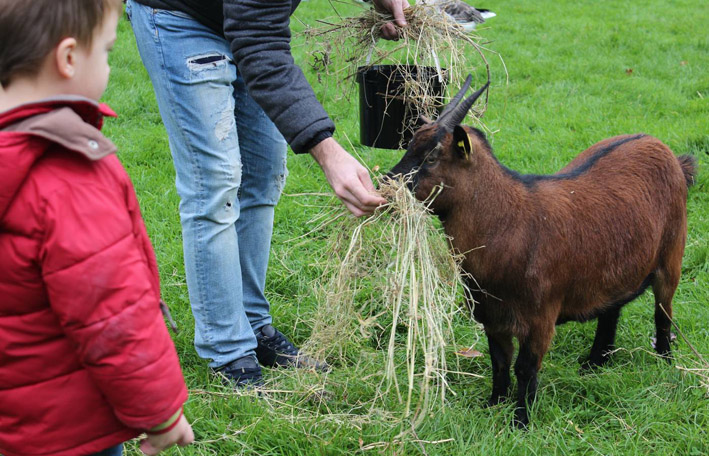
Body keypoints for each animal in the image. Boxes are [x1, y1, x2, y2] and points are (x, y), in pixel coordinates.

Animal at [388, 76, 696, 430]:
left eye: (432, 157)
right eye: (409, 146)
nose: (386, 182)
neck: (510, 221)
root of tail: (665, 150)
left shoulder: (540, 317)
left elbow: (525, 368)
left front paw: (520, 420)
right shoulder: (491, 315)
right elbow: (499, 362)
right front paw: (493, 404)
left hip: (671, 257)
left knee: (663, 312)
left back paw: (664, 360)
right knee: (611, 308)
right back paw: (595, 362)